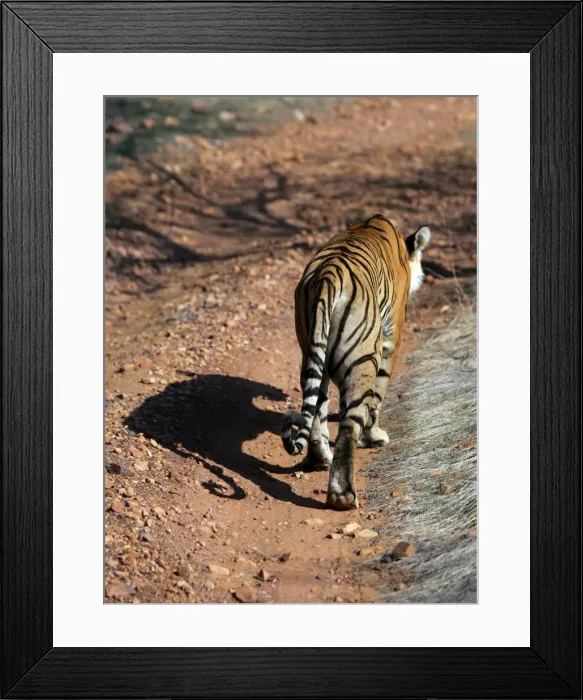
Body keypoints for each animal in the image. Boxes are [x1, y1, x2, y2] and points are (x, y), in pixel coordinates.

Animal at [282, 214, 430, 510]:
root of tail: (328, 276)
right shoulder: (391, 337)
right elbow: (378, 398)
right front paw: (375, 437)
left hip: (311, 351)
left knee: (316, 409)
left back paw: (319, 460)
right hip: (362, 360)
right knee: (349, 424)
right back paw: (343, 495)